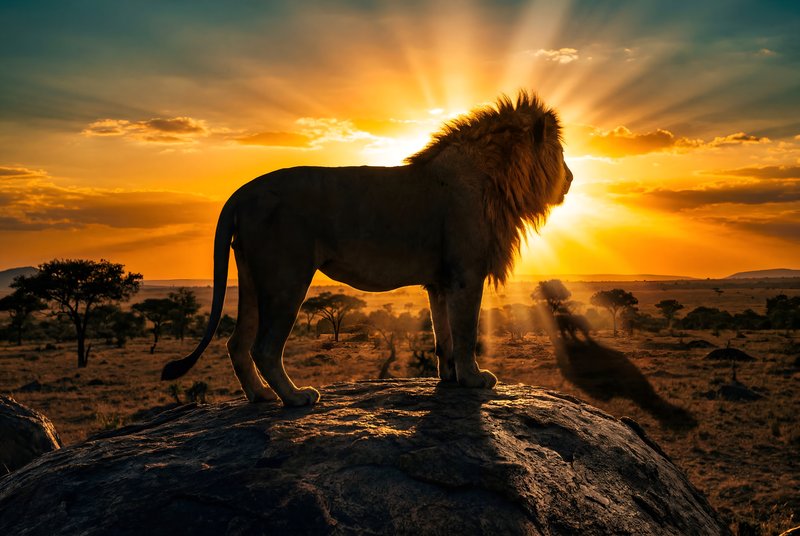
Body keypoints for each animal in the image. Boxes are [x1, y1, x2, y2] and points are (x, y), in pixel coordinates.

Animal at [161, 90, 573, 407]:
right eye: (559, 152)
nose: (570, 179)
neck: (498, 180)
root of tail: (242, 192)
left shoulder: (440, 282)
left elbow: (444, 335)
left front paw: (450, 378)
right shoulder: (465, 275)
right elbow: (467, 332)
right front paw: (475, 379)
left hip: (250, 277)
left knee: (236, 343)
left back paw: (261, 396)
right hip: (286, 277)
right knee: (264, 347)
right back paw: (295, 398)